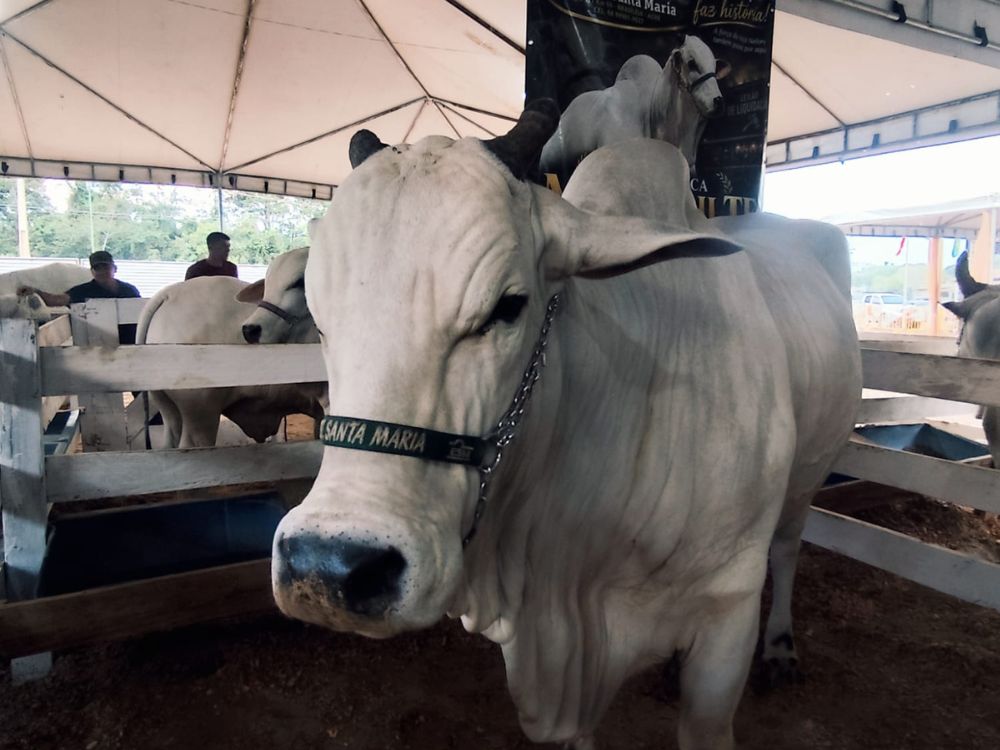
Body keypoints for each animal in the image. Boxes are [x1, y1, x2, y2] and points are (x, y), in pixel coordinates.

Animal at [271, 104, 860, 750]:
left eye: (508, 306)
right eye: (319, 317)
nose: (328, 568)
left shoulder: (726, 625)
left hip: (807, 479)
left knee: (788, 547)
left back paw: (780, 649)